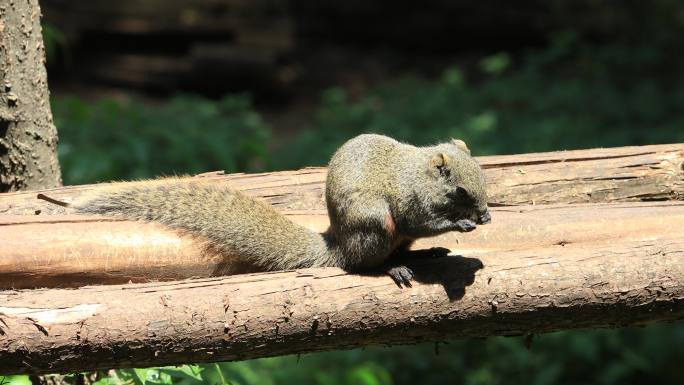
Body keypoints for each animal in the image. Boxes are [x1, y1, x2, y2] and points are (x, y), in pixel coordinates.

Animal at [75, 134, 488, 286]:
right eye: (460, 190)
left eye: (483, 174)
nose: (484, 214)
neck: (419, 174)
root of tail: (338, 244)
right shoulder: (409, 201)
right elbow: (422, 221)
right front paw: (461, 223)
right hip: (374, 225)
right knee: (362, 264)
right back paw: (393, 267)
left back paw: (423, 255)